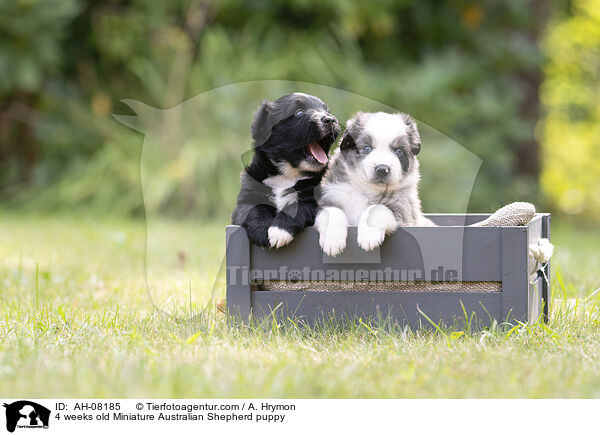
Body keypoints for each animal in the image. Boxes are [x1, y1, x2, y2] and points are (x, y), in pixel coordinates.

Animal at [232, 92, 340, 249]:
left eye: (327, 111)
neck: (287, 173)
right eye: (299, 112)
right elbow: (254, 208)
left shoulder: (312, 198)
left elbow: (295, 207)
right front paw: (261, 231)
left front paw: (278, 231)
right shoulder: (247, 196)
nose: (330, 120)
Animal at [316, 110, 434, 258]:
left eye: (399, 151)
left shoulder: (403, 208)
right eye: (367, 148)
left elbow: (377, 209)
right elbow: (333, 212)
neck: (368, 190)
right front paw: (332, 240)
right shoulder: (330, 197)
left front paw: (368, 236)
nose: (382, 169)